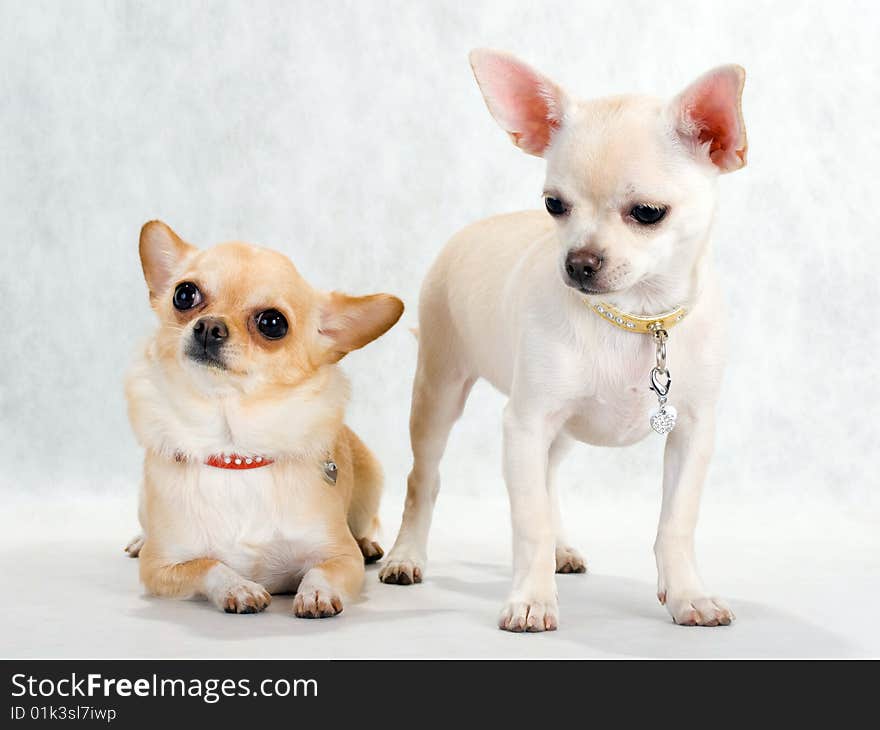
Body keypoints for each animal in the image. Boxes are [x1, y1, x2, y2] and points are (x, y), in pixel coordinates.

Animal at [125, 220, 404, 616]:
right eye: (184, 294)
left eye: (272, 323)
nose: (209, 326)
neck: (235, 451)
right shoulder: (160, 567)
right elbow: (208, 564)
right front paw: (239, 587)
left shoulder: (340, 557)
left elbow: (322, 570)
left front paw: (316, 593)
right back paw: (139, 539)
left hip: (370, 487)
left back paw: (367, 543)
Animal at [380, 52, 748, 632]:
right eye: (554, 205)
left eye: (648, 213)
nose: (577, 262)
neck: (635, 319)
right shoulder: (525, 423)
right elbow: (528, 522)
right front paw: (531, 600)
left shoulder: (692, 431)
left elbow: (676, 521)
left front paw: (688, 594)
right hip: (439, 392)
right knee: (425, 479)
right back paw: (405, 556)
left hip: (566, 427)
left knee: (549, 475)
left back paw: (562, 548)